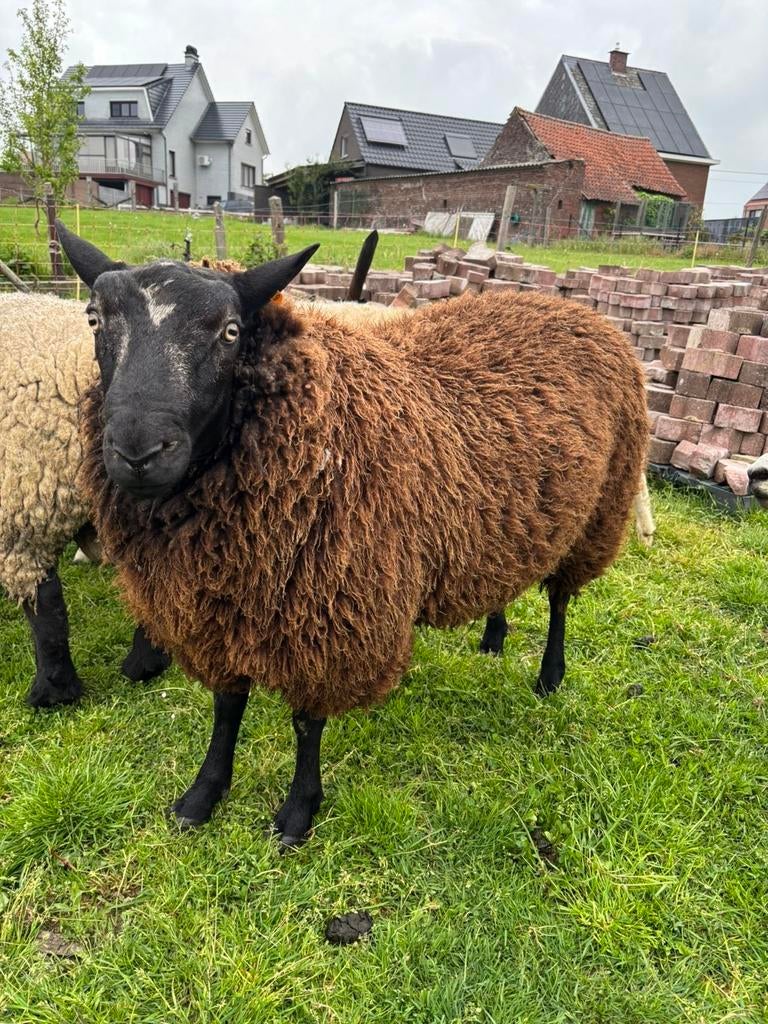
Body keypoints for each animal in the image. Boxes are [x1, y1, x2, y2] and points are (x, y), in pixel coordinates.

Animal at [59, 224, 648, 848]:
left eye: (230, 331)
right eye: (94, 319)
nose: (138, 452)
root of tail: (577, 310)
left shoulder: (332, 609)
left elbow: (306, 721)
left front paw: (297, 812)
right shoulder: (222, 604)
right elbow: (226, 706)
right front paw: (203, 795)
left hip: (599, 512)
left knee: (561, 599)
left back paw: (550, 675)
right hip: (514, 517)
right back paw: (493, 634)